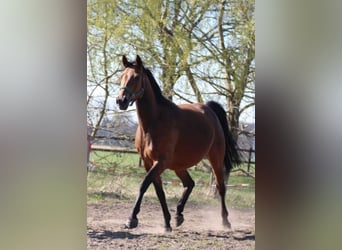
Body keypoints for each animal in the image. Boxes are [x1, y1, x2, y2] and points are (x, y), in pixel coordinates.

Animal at [116, 55, 239, 232]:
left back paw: (225, 221)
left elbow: (143, 184)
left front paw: (131, 219)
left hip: (215, 159)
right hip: (178, 165)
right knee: (190, 183)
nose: (121, 101)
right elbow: (158, 191)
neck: (153, 122)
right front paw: (166, 223)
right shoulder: (148, 162)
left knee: (220, 187)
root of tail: (209, 109)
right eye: (122, 76)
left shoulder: (161, 162)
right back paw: (178, 215)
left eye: (136, 77)